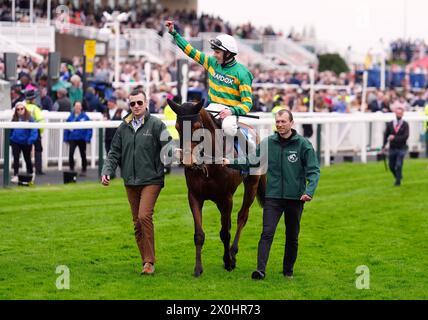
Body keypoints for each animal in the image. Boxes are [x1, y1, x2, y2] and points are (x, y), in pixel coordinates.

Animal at [166, 99, 264, 276]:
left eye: (197, 126)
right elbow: (199, 234)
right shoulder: (194, 196)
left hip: (252, 185)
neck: (209, 165)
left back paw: (233, 253)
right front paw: (198, 269)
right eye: (177, 127)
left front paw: (228, 262)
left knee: (242, 217)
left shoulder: (226, 198)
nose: (187, 160)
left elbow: (225, 233)